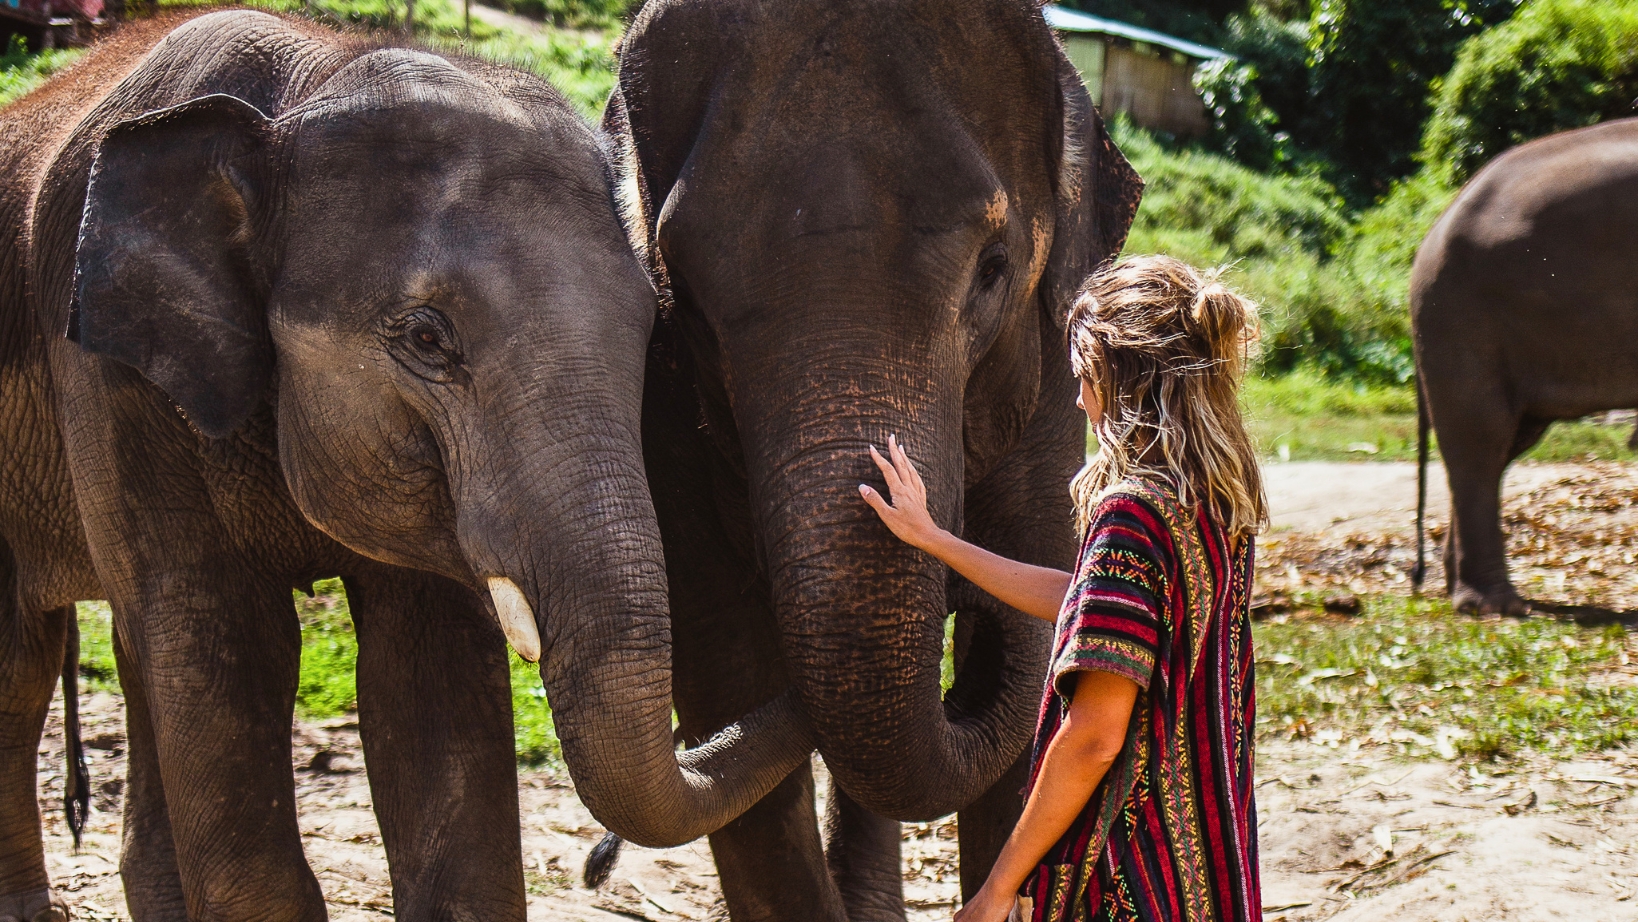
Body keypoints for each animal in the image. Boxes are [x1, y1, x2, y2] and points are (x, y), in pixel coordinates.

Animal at [0, 11, 809, 920]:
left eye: (651, 328)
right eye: (426, 338)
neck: (310, 78)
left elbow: (432, 695)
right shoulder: (112, 383)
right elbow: (223, 648)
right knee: (23, 663)